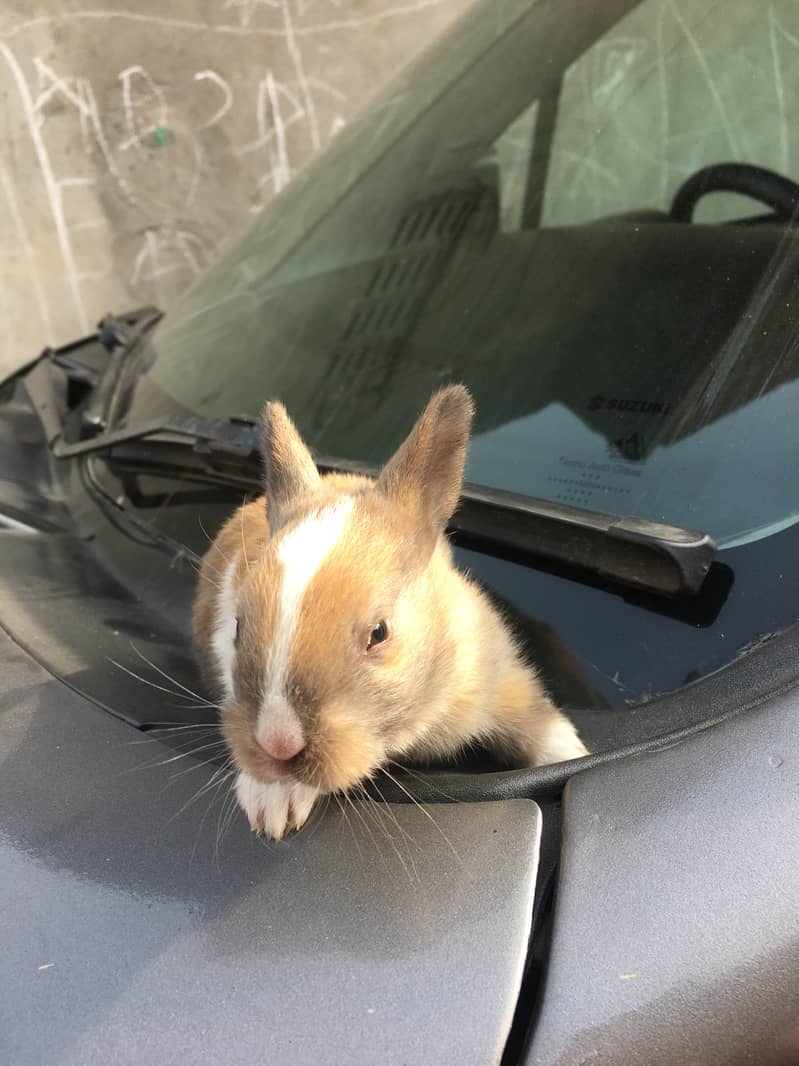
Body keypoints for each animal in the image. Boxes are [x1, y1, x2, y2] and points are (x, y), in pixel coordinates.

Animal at [192, 385, 588, 840]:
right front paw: (272, 802)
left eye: (379, 633)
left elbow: (534, 719)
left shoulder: (496, 675)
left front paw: (573, 753)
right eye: (238, 628)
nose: (278, 743)